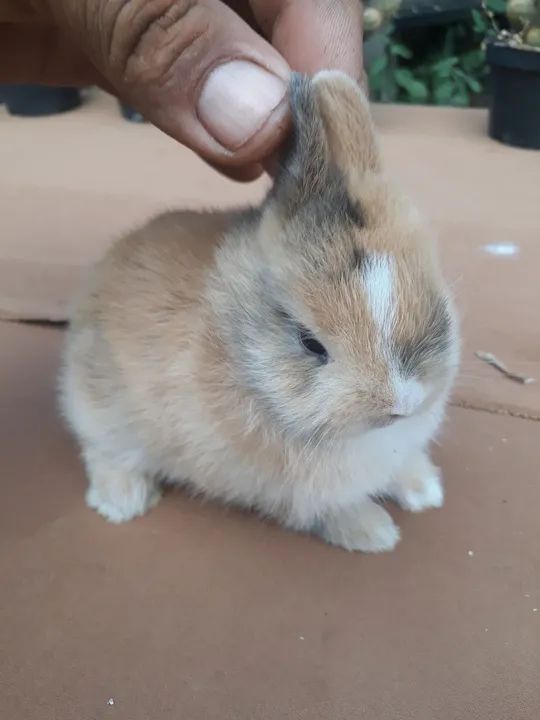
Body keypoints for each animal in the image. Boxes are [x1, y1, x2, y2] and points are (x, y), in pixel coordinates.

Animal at [59, 70, 459, 553]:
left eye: (433, 300)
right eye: (310, 344)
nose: (402, 403)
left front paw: (425, 492)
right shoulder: (298, 492)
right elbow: (330, 509)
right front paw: (376, 533)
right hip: (103, 413)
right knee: (103, 451)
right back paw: (123, 503)